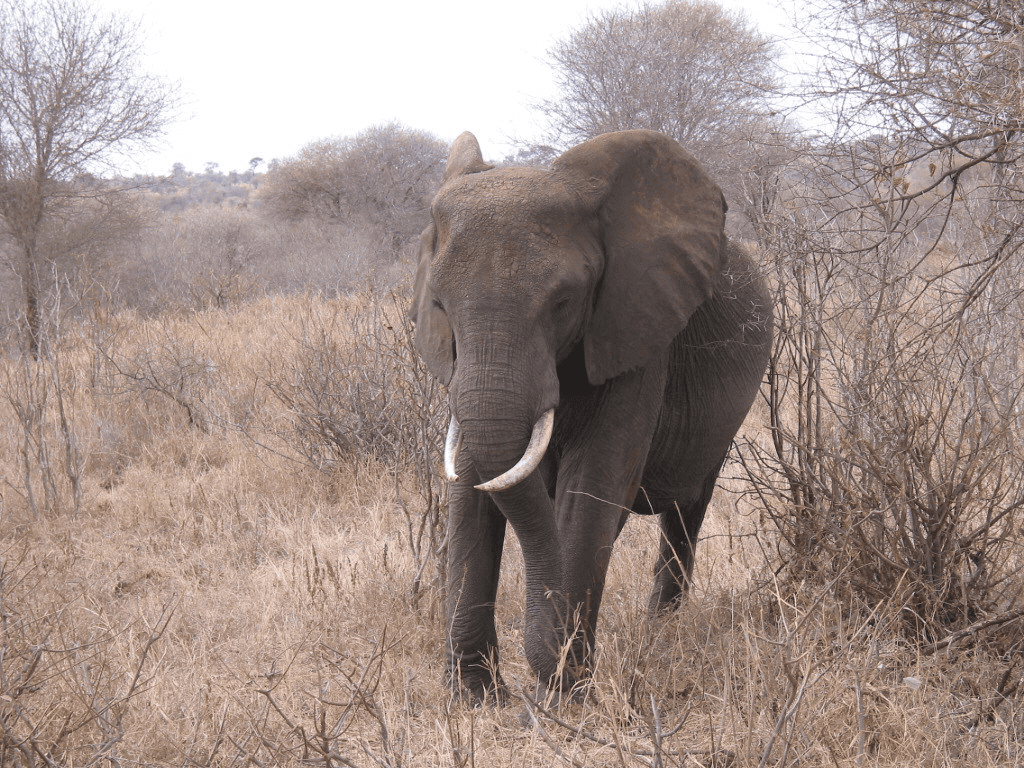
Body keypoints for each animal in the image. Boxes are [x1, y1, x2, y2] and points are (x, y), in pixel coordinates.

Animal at [410, 129, 773, 702]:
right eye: (441, 306)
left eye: (564, 301)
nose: (543, 676)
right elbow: (469, 490)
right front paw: (475, 700)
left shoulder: (636, 331)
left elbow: (591, 489)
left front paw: (561, 695)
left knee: (687, 509)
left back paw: (660, 637)